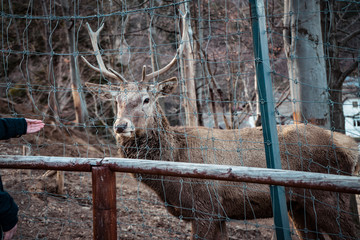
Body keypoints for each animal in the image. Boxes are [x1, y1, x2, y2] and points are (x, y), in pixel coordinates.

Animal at [82, 23, 360, 240]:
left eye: (147, 99)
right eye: (116, 100)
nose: (121, 126)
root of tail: (348, 147)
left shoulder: (205, 207)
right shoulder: (219, 214)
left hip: (332, 199)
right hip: (299, 206)